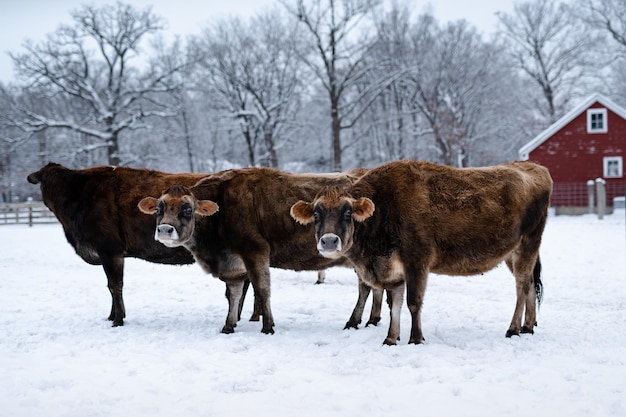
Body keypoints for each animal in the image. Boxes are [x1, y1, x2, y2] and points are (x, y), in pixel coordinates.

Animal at [27, 161, 254, 326]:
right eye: (46, 182)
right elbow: (111, 286)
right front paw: (112, 316)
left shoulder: (110, 249)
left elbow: (115, 285)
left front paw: (117, 320)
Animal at [136, 167, 380, 334]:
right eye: (159, 208)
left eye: (187, 209)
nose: (165, 229)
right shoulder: (234, 264)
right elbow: (233, 294)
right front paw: (228, 325)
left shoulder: (255, 251)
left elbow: (262, 289)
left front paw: (268, 326)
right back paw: (371, 320)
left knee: (365, 288)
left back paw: (353, 321)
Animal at [288, 159, 552, 344]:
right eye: (316, 213)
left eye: (347, 212)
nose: (329, 241)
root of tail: (533, 167)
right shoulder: (393, 269)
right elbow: (393, 303)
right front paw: (391, 338)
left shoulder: (417, 261)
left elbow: (413, 302)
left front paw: (415, 338)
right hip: (513, 253)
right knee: (530, 283)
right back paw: (528, 326)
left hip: (528, 243)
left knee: (521, 286)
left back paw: (513, 329)